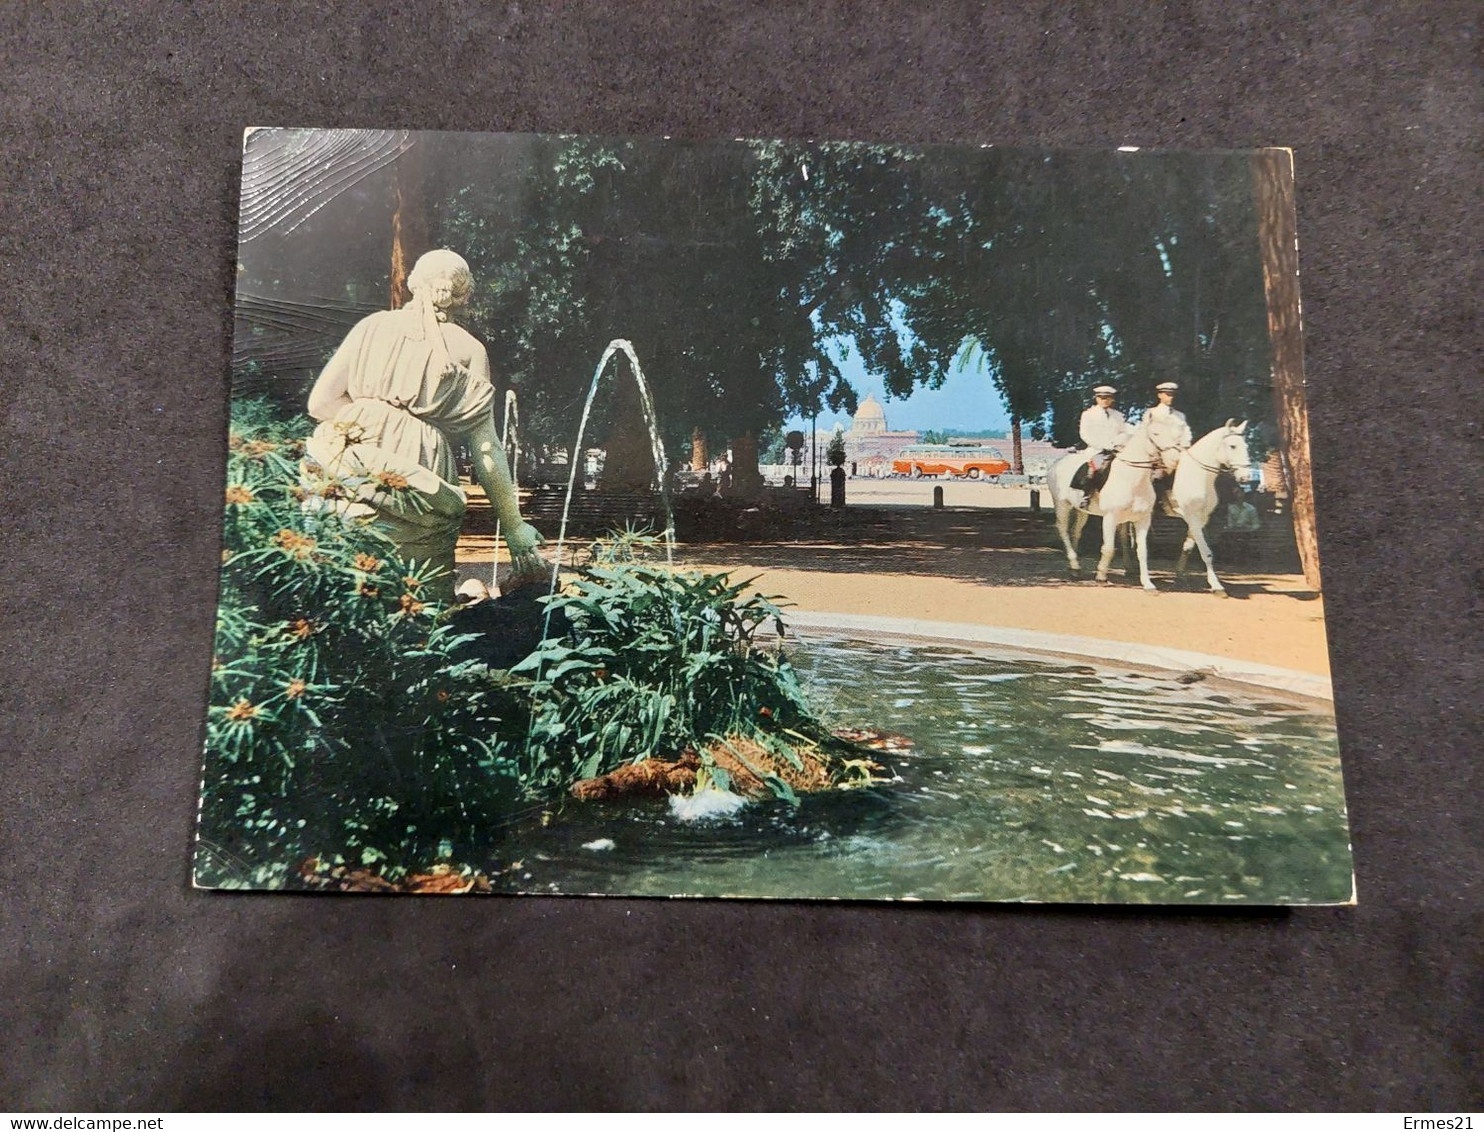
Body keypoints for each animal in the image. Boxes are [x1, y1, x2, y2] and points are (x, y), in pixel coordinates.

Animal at [1044, 421, 1169, 587]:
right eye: (1156, 434)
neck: (1132, 479)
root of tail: (1055, 465)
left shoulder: (1141, 519)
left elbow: (1141, 550)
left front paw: (1146, 582)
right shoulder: (1110, 517)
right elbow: (1108, 548)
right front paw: (1101, 575)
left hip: (1082, 511)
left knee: (1075, 531)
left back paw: (1074, 569)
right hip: (1062, 505)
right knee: (1062, 529)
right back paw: (1074, 563)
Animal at [1169, 415, 1252, 593]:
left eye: (1246, 446)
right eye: (1233, 446)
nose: (1245, 477)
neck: (1199, 474)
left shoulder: (1201, 519)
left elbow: (1188, 547)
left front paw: (1180, 575)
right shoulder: (1192, 517)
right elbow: (1206, 552)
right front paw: (1216, 585)